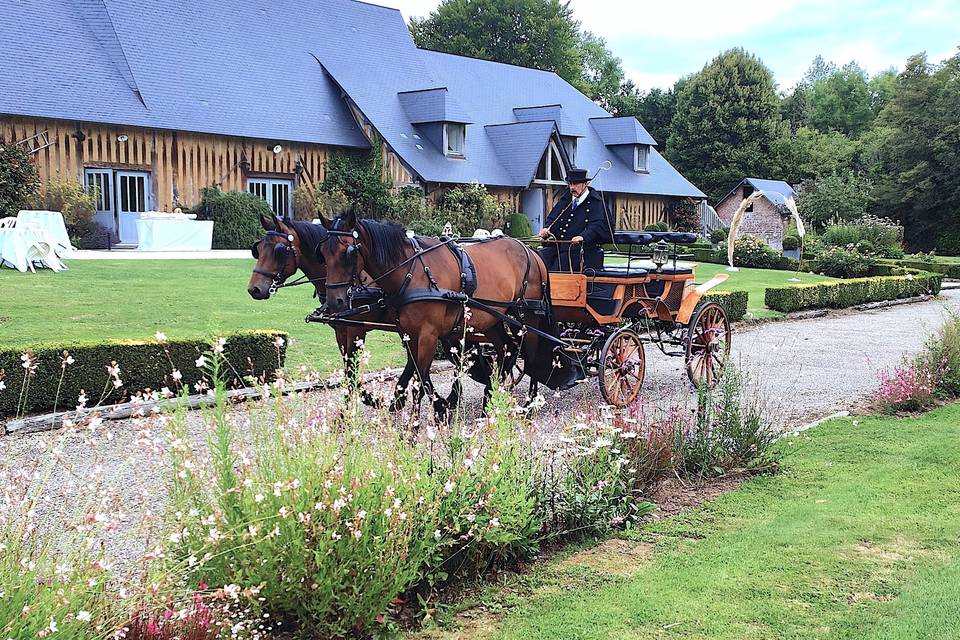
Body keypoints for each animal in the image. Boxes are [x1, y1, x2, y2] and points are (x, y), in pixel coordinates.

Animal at [316, 210, 564, 420]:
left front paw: (417, 425)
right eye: (323, 253)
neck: (411, 272)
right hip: (492, 318)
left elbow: (419, 377)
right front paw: (430, 407)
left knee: (530, 356)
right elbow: (416, 372)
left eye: (348, 252)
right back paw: (489, 398)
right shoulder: (407, 332)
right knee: (507, 350)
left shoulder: (427, 333)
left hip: (526, 317)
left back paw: (529, 404)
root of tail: (531, 252)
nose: (335, 301)